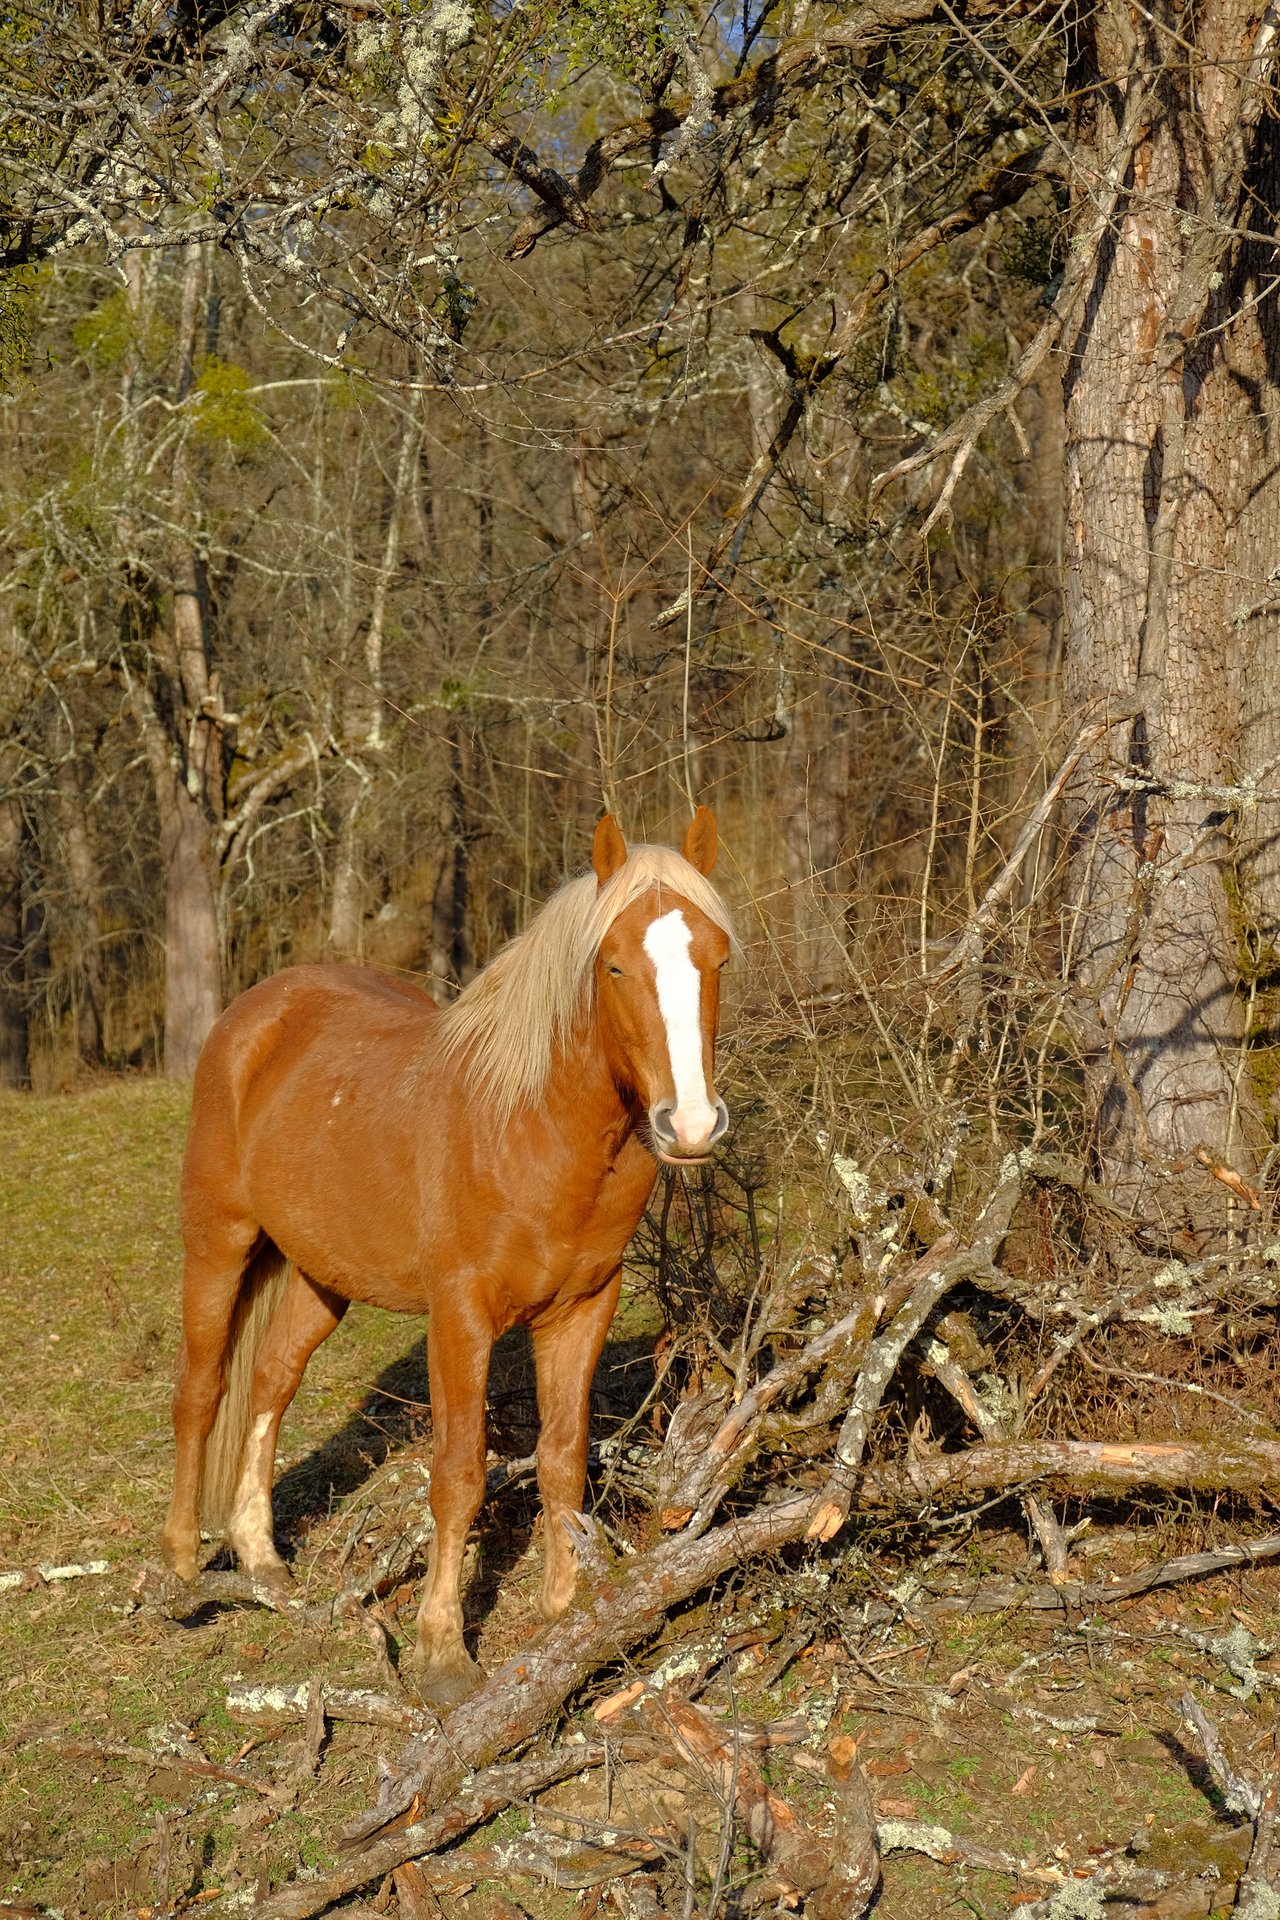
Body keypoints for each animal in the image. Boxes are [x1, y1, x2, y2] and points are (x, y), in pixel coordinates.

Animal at [165, 802, 736, 1704]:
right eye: (613, 965)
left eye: (717, 958)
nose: (691, 1126)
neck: (530, 1126)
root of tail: (255, 1013)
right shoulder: (461, 1315)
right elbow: (460, 1472)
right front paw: (444, 1652)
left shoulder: (582, 1308)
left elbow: (562, 1458)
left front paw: (566, 1609)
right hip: (219, 1243)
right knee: (200, 1389)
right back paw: (183, 1566)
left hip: (323, 1276)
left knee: (271, 1381)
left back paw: (262, 1560)